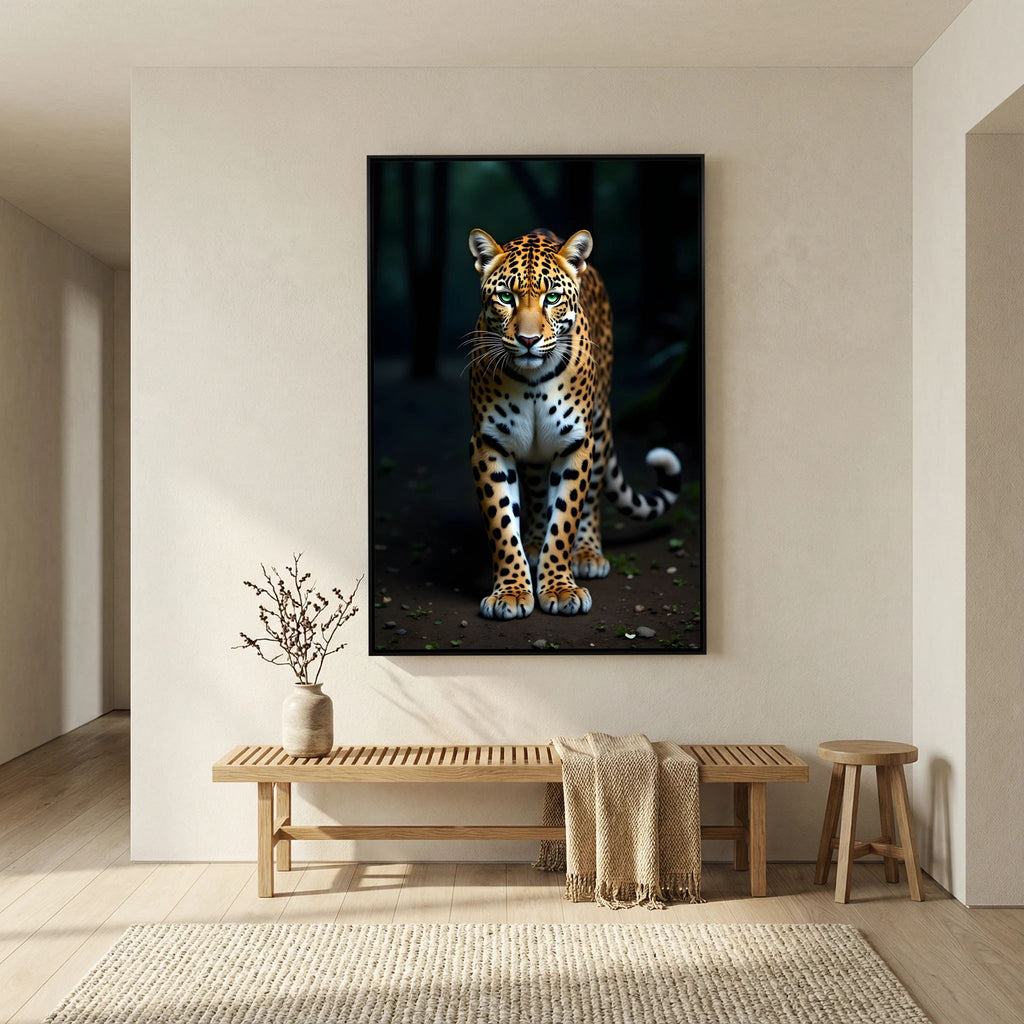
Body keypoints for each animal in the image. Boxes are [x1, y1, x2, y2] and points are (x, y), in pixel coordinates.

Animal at [465, 227, 682, 620]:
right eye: (505, 296)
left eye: (552, 297)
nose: (529, 340)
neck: (532, 381)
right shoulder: (489, 444)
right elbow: (502, 523)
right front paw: (512, 591)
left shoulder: (575, 444)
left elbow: (565, 518)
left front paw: (560, 588)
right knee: (536, 493)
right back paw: (534, 544)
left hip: (600, 427)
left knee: (592, 497)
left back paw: (587, 554)